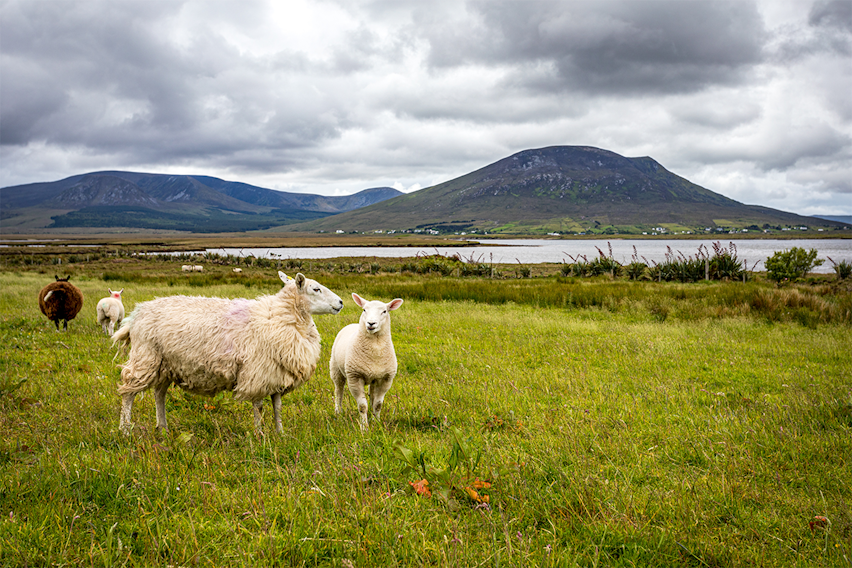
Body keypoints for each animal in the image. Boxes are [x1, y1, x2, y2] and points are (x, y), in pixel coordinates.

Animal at [113, 272, 343, 435]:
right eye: (316, 289)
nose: (340, 303)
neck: (282, 316)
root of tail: (138, 313)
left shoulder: (277, 373)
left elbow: (277, 406)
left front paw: (281, 433)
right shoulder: (258, 372)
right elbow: (259, 406)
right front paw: (260, 435)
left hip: (165, 364)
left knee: (159, 394)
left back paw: (163, 428)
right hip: (145, 357)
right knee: (128, 392)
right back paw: (125, 430)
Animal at [330, 293, 403, 430]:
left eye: (384, 311)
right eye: (364, 309)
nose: (371, 323)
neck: (375, 349)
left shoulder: (385, 379)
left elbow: (378, 404)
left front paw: (376, 422)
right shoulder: (355, 377)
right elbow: (362, 406)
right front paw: (364, 428)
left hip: (374, 379)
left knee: (372, 395)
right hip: (336, 369)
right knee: (338, 391)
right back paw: (338, 412)